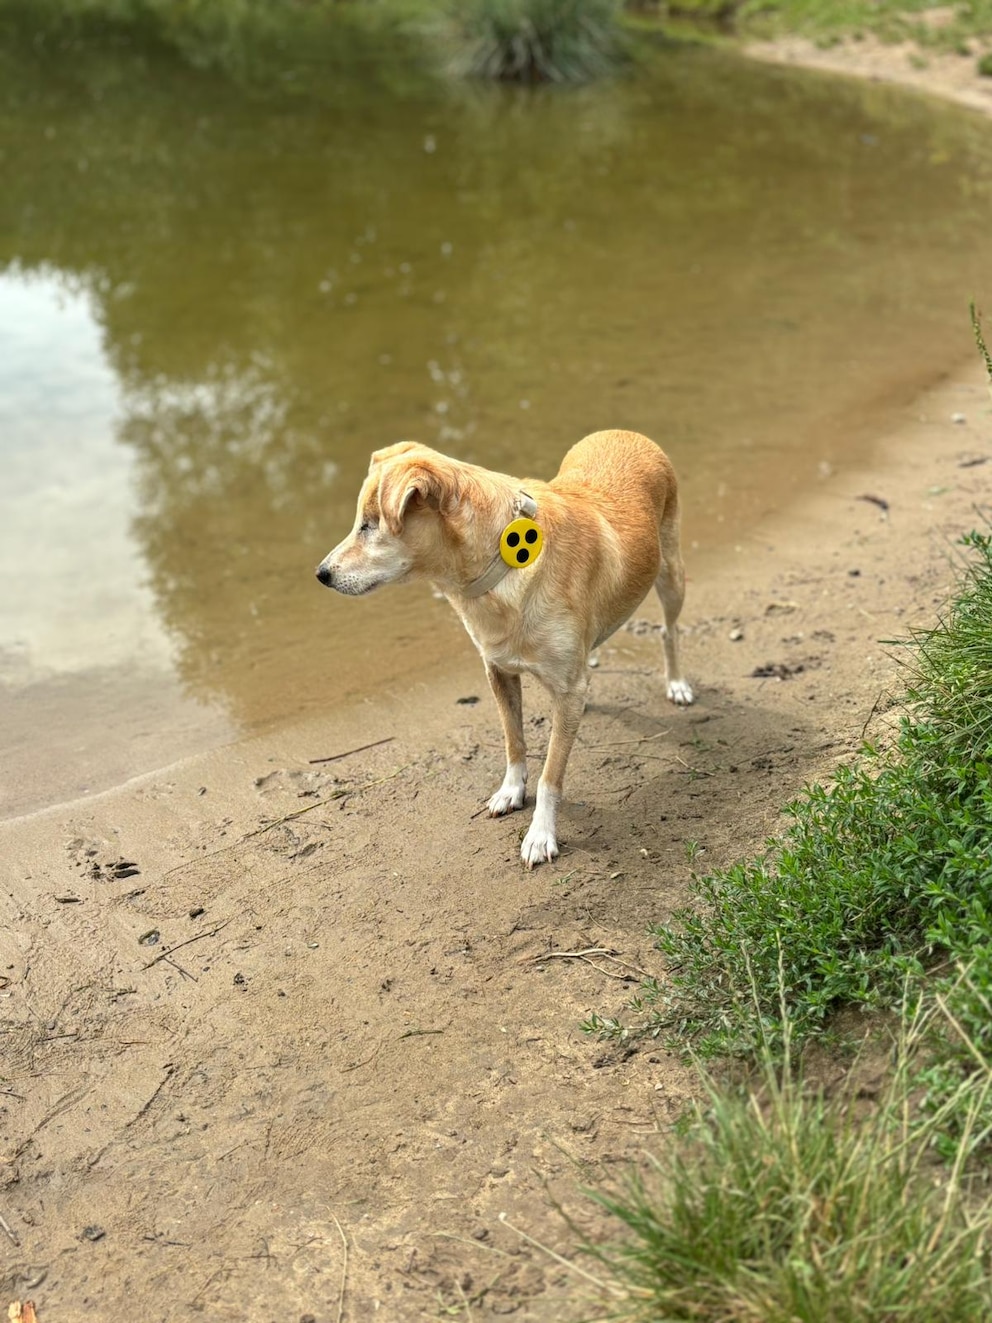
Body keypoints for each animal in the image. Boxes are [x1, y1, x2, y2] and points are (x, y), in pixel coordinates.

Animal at [314, 431, 693, 867]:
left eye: (370, 525)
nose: (321, 574)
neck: (501, 566)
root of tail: (625, 432)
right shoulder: (498, 671)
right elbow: (514, 740)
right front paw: (511, 791)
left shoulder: (566, 690)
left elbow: (551, 775)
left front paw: (540, 834)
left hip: (671, 574)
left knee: (670, 631)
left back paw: (677, 683)